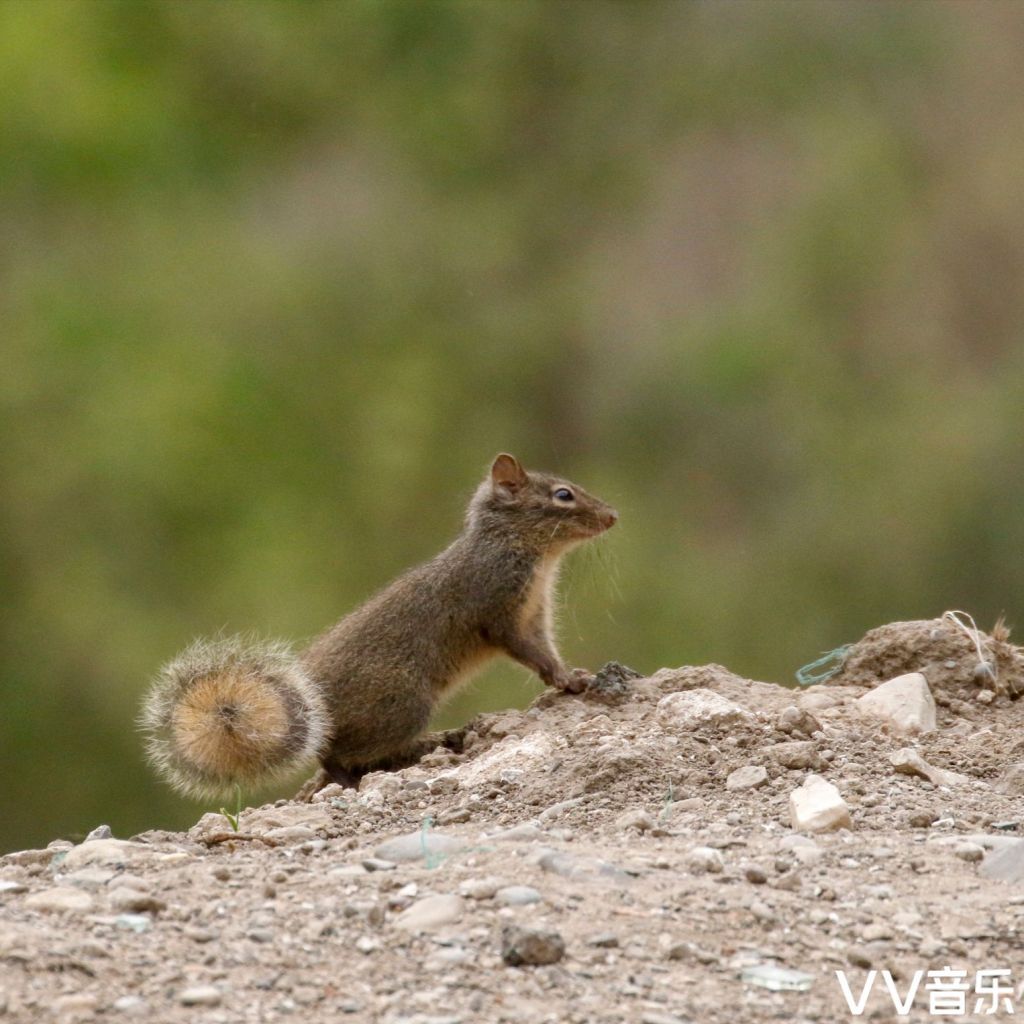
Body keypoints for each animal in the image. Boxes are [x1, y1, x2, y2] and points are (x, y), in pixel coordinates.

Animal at [142, 454, 614, 798]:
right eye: (563, 495)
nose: (612, 516)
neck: (520, 549)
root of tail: (310, 706)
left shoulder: (535, 615)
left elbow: (544, 649)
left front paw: (571, 675)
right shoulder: (499, 608)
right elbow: (529, 652)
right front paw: (568, 680)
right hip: (401, 704)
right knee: (332, 753)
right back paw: (358, 775)